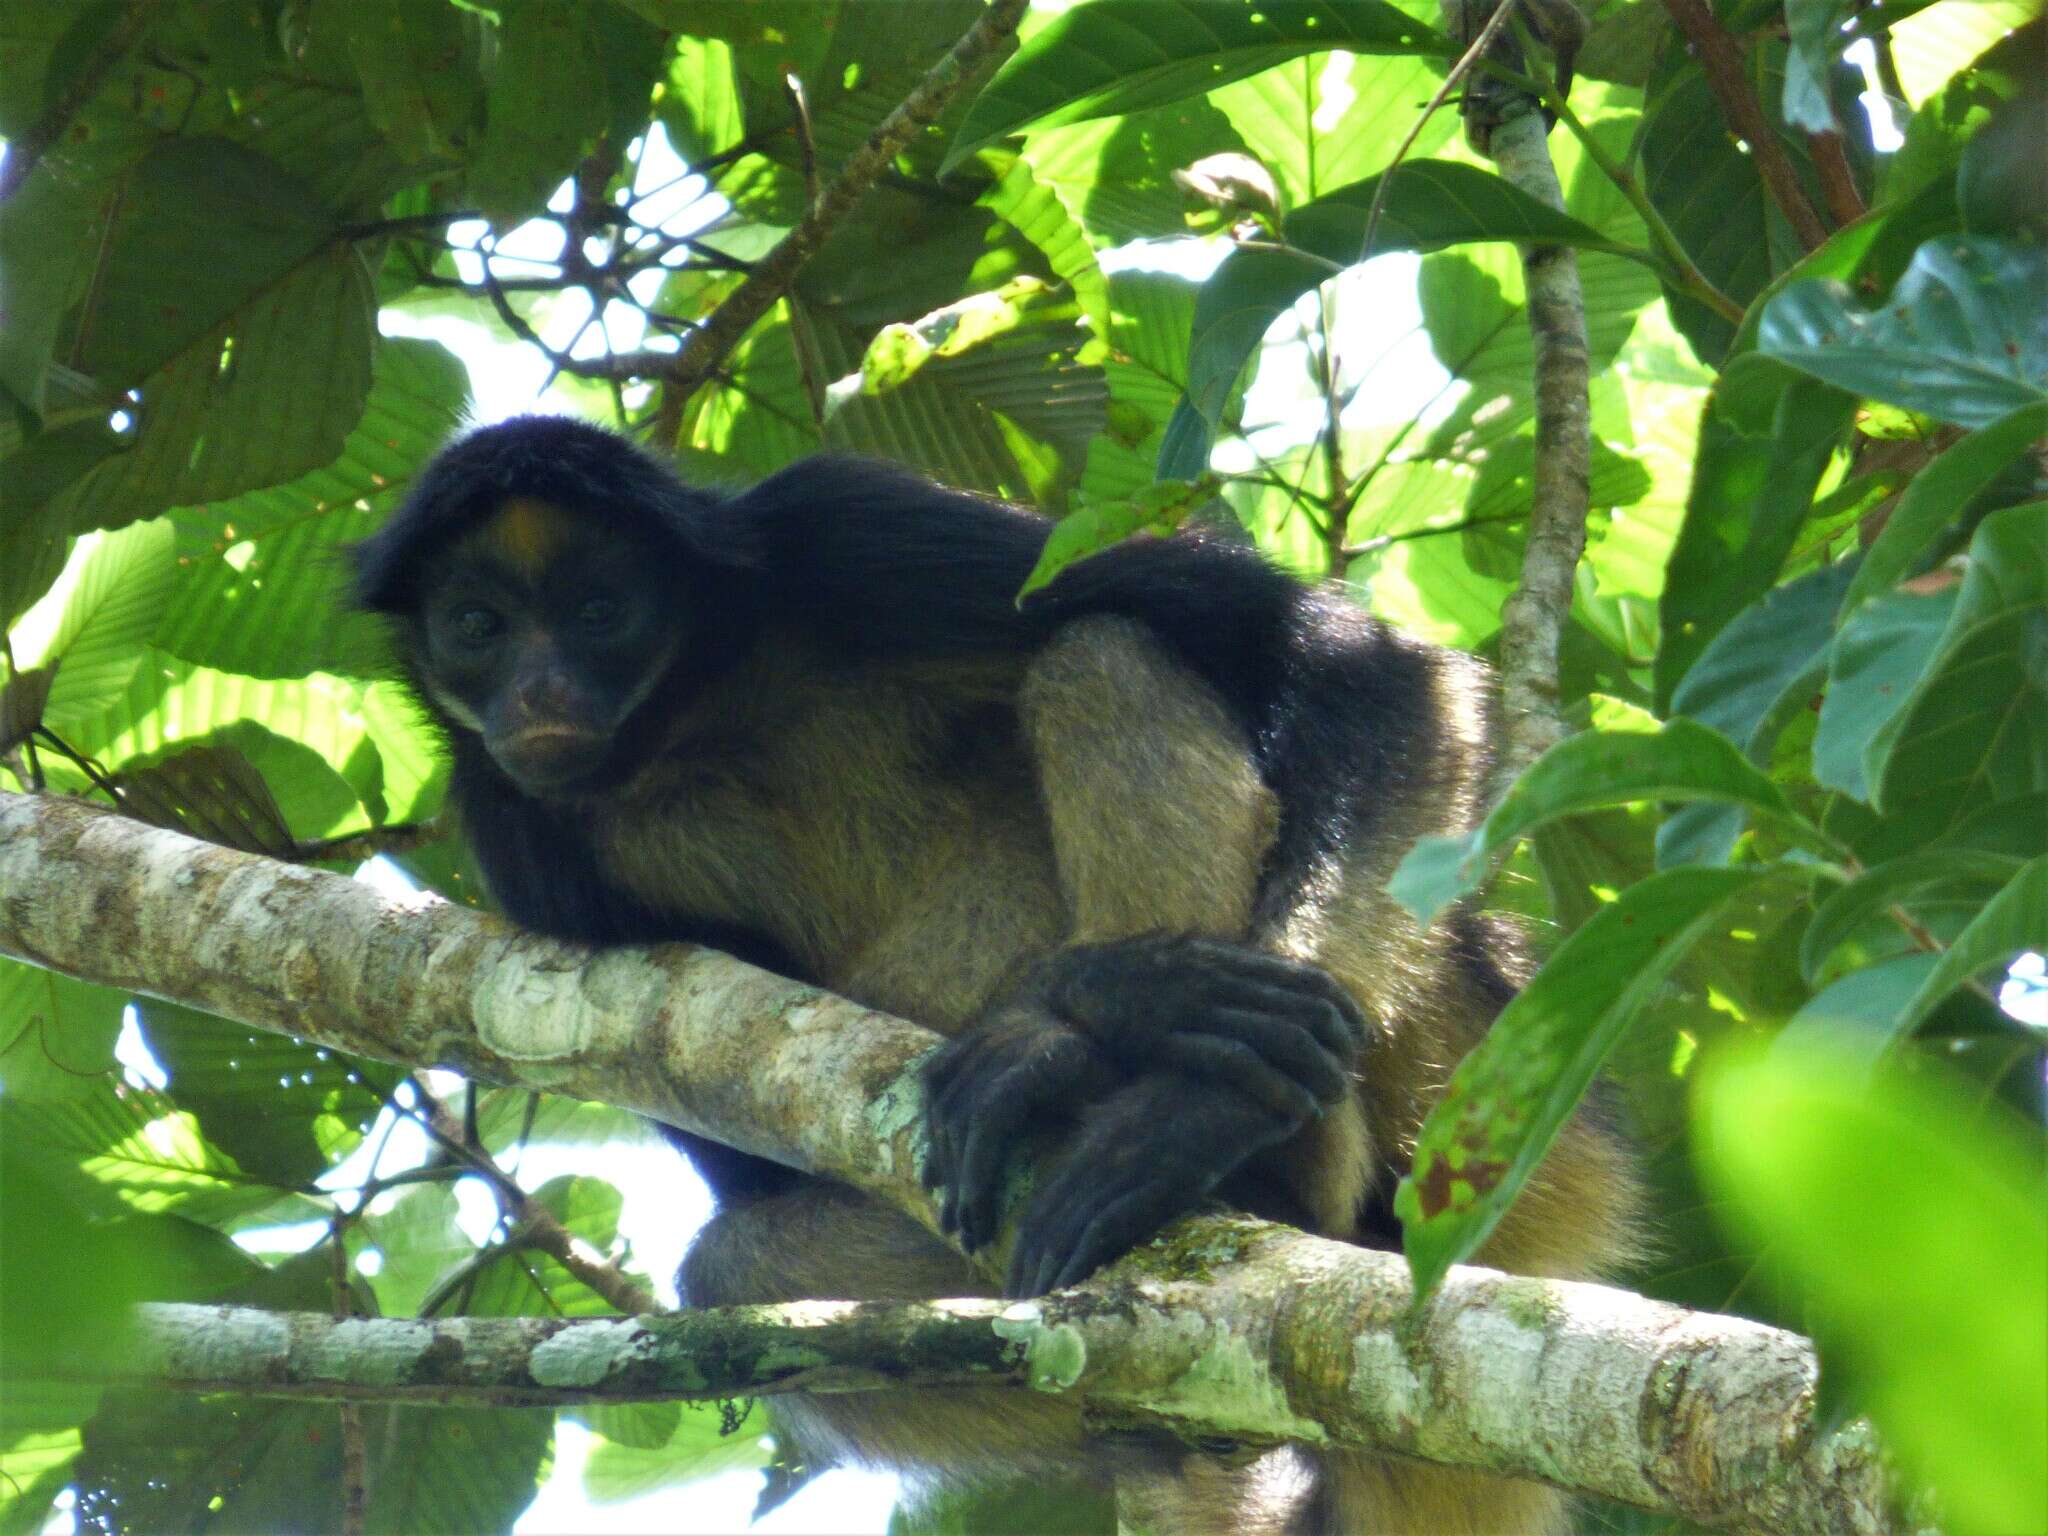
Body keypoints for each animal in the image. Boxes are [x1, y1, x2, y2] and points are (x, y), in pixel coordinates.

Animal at [348, 417, 1630, 1536]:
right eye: (477, 626)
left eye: (599, 612)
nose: (539, 692)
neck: (689, 716)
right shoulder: (510, 822)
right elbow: (735, 1148)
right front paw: (1113, 1015)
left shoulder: (841, 525)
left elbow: (1358, 671)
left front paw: (1173, 1083)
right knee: (733, 1263)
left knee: (1098, 654)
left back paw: (1215, 1135)